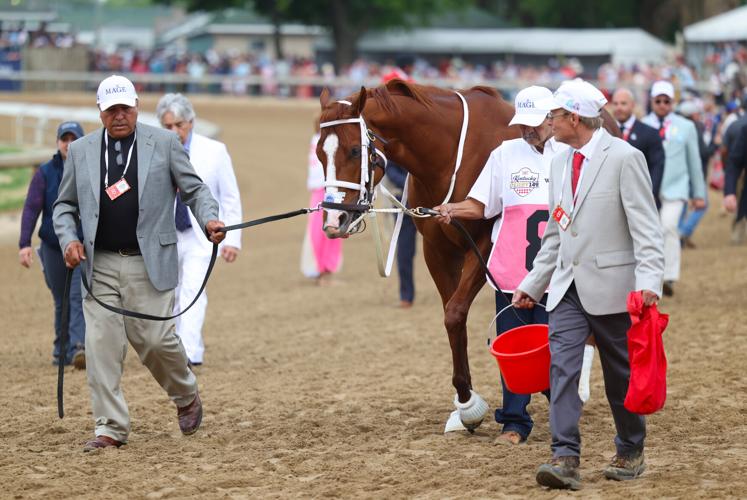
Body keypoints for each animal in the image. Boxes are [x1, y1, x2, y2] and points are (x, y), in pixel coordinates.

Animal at [316, 80, 620, 430]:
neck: (448, 156)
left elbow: (456, 311)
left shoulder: (485, 245)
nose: (334, 219)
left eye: (354, 150)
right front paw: (465, 405)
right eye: (319, 152)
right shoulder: (438, 250)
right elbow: (452, 318)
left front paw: (476, 401)